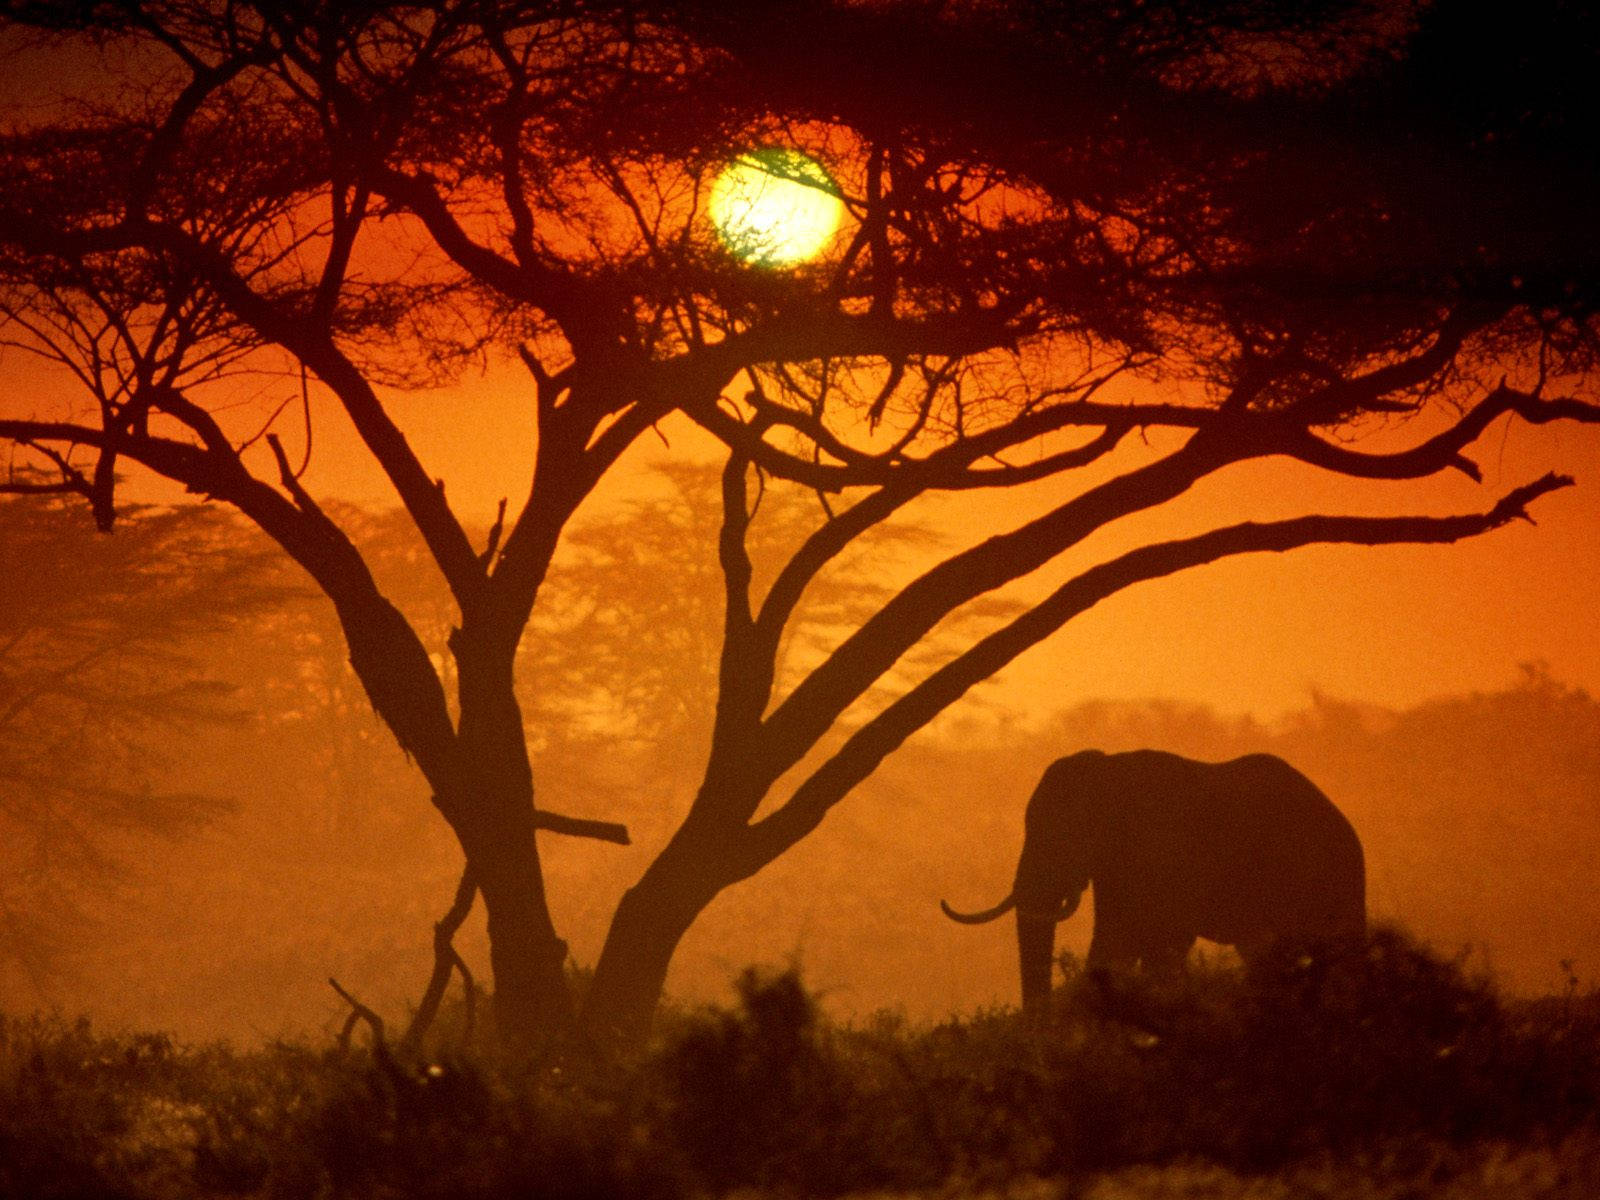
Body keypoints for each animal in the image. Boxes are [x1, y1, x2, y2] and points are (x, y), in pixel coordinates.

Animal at [941, 749, 1365, 1020]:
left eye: (1062, 836)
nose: (1036, 1023)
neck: (1109, 769)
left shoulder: (1163, 851)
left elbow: (1160, 941)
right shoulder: (1117, 866)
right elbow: (1115, 941)